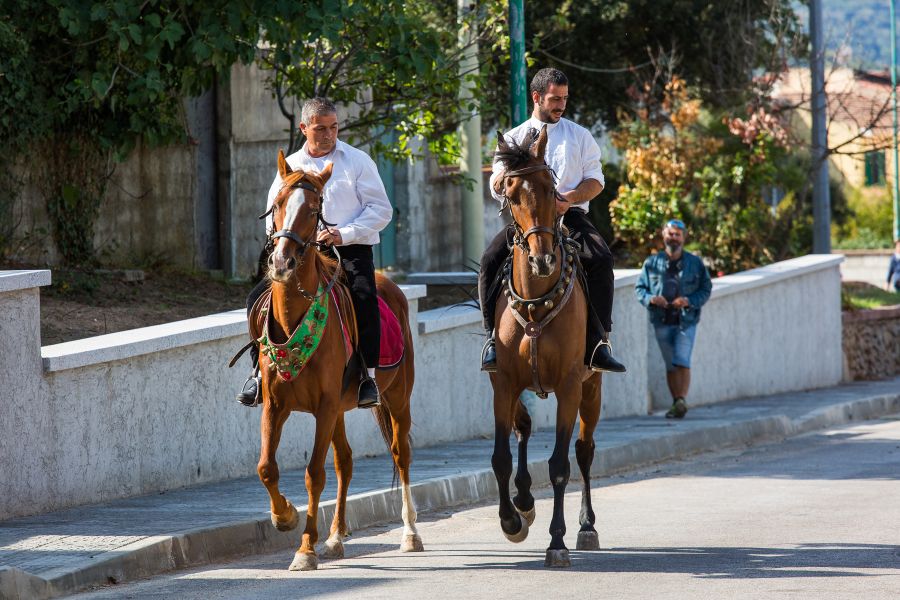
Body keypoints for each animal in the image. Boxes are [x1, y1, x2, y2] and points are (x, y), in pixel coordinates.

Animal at [253, 151, 422, 572]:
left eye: (315, 210)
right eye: (277, 204)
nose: (282, 262)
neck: (296, 319)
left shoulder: (326, 405)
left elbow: (314, 474)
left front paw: (304, 548)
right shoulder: (275, 404)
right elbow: (266, 467)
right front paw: (285, 516)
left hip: (396, 398)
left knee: (401, 454)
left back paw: (410, 534)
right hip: (340, 410)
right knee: (345, 461)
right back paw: (335, 537)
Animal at [488, 125, 600, 568]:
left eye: (553, 189)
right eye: (511, 191)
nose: (542, 260)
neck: (536, 302)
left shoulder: (569, 385)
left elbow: (559, 465)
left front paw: (557, 540)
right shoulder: (502, 383)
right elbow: (501, 457)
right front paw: (510, 521)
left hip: (592, 386)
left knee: (584, 451)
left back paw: (586, 525)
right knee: (523, 429)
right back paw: (523, 501)